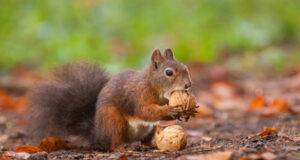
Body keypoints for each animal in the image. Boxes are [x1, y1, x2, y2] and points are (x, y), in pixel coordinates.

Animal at [28, 48, 192, 151]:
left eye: (185, 67)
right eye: (169, 73)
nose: (188, 85)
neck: (154, 86)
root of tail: (97, 133)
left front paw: (187, 112)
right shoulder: (138, 95)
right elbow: (144, 111)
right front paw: (169, 110)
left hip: (149, 129)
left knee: (145, 138)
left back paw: (148, 145)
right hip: (113, 121)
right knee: (114, 140)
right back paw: (120, 147)